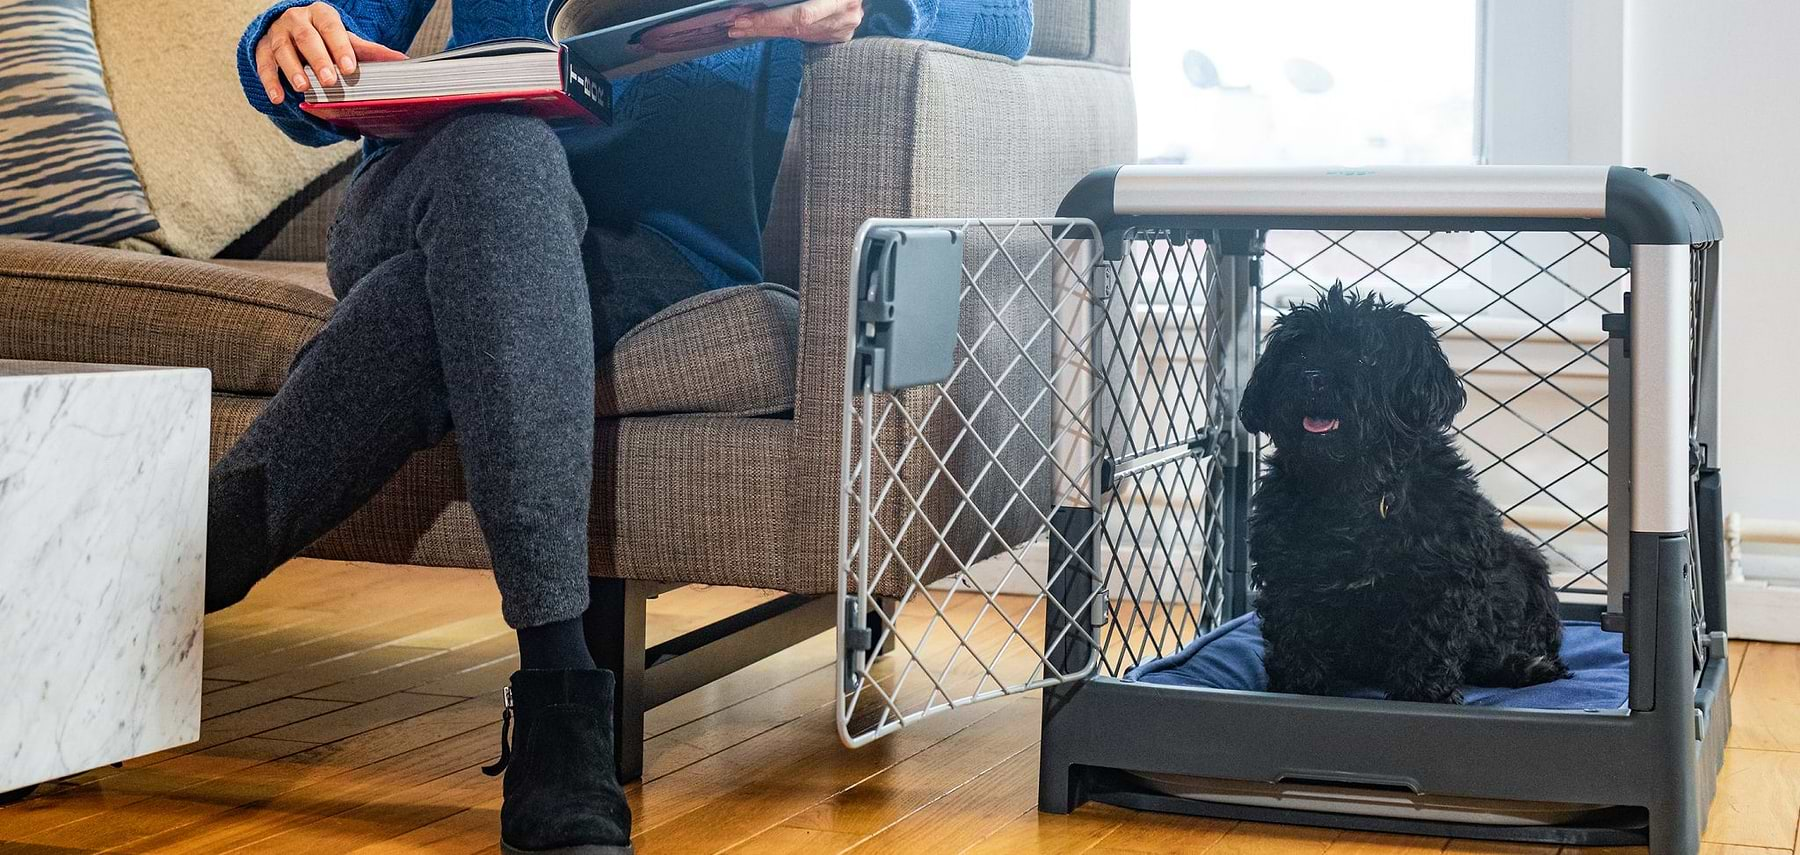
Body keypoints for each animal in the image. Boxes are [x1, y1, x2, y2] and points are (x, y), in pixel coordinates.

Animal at [1245, 286, 1569, 702]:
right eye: (1299, 352)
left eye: (1367, 357)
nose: (1313, 377)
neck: (1351, 488)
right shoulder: (1288, 580)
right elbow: (1295, 643)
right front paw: (1297, 690)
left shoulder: (1440, 583)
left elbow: (1428, 645)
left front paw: (1423, 697)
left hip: (1527, 562)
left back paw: (1525, 665)